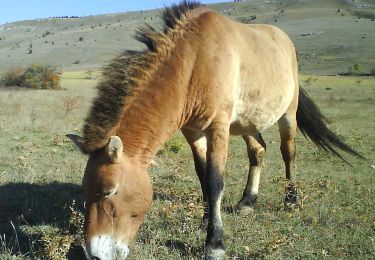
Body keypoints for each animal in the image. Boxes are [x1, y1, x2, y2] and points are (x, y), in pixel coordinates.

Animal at [67, 1, 364, 258]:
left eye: (109, 191)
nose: (94, 253)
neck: (193, 61)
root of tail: (283, 39)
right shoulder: (192, 131)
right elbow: (202, 176)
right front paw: (206, 220)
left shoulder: (218, 127)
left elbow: (215, 180)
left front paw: (214, 243)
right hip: (247, 123)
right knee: (258, 151)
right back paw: (247, 202)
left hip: (287, 115)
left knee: (287, 152)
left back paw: (291, 200)